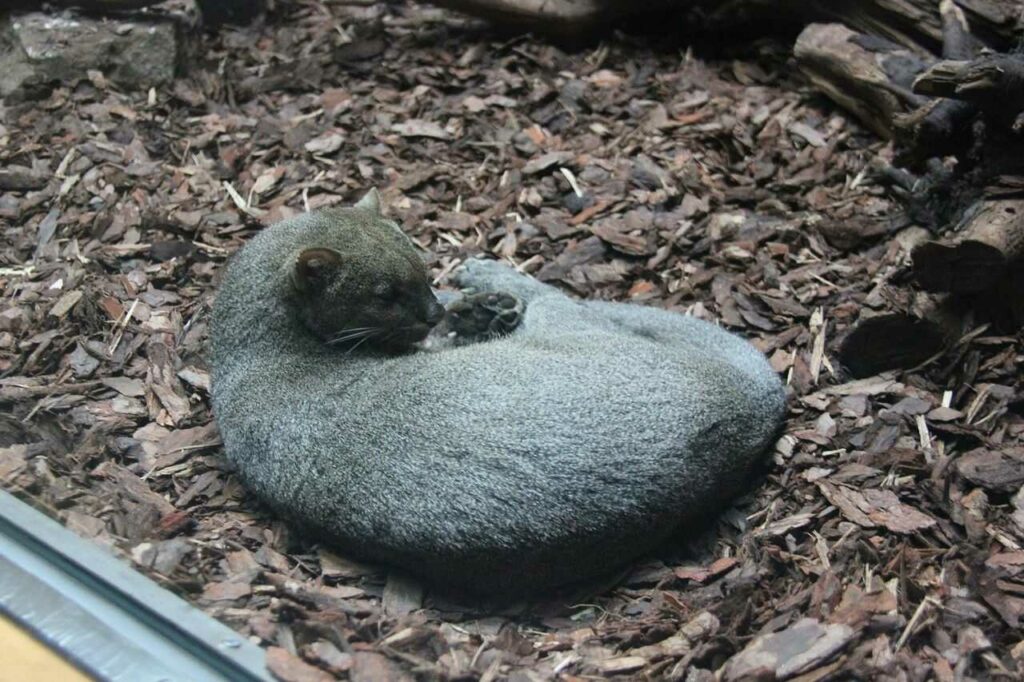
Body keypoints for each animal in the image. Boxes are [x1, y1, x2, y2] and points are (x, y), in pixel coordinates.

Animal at [207, 189, 782, 593]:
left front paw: (470, 308)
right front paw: (476, 304)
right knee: (562, 299)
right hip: (574, 330)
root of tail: (746, 408)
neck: (256, 354)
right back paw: (491, 279)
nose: (433, 310)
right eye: (385, 295)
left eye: (420, 268)